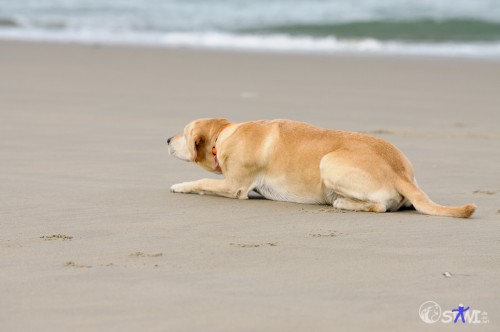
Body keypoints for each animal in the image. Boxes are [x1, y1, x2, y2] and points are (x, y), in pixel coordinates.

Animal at [168, 118, 476, 218]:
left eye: (184, 133)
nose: (167, 139)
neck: (224, 134)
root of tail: (401, 173)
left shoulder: (235, 186)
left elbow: (201, 182)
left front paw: (180, 185)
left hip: (328, 162)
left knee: (378, 206)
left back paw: (342, 202)